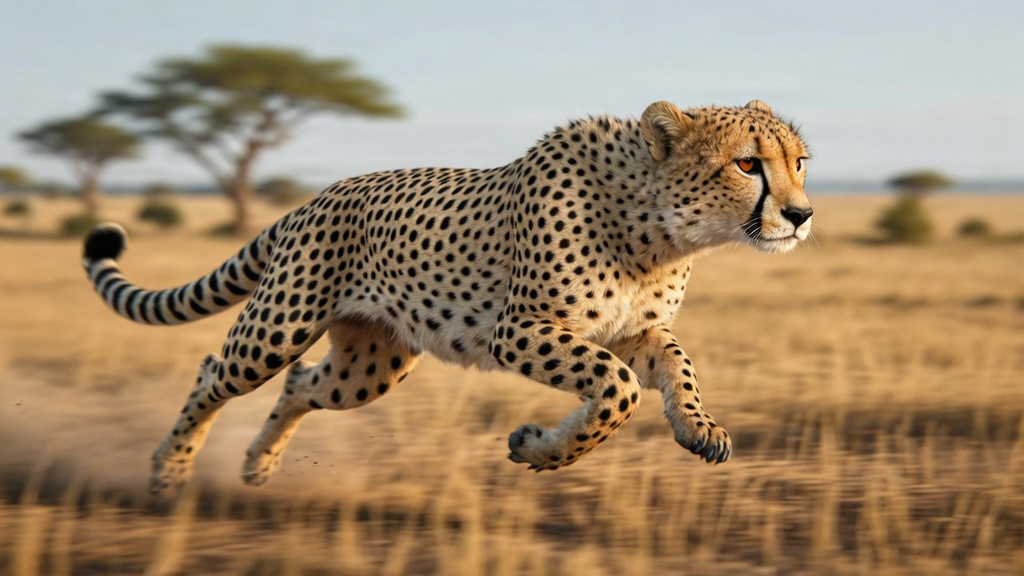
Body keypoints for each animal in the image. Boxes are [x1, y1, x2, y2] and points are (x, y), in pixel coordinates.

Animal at [81, 100, 812, 495]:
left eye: (799, 162)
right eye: (748, 164)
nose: (802, 215)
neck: (656, 226)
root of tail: (316, 197)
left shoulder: (636, 331)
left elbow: (675, 363)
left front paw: (697, 425)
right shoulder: (520, 329)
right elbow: (617, 389)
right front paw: (539, 449)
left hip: (369, 366)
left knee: (302, 383)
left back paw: (260, 463)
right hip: (278, 326)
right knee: (218, 371)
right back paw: (169, 469)